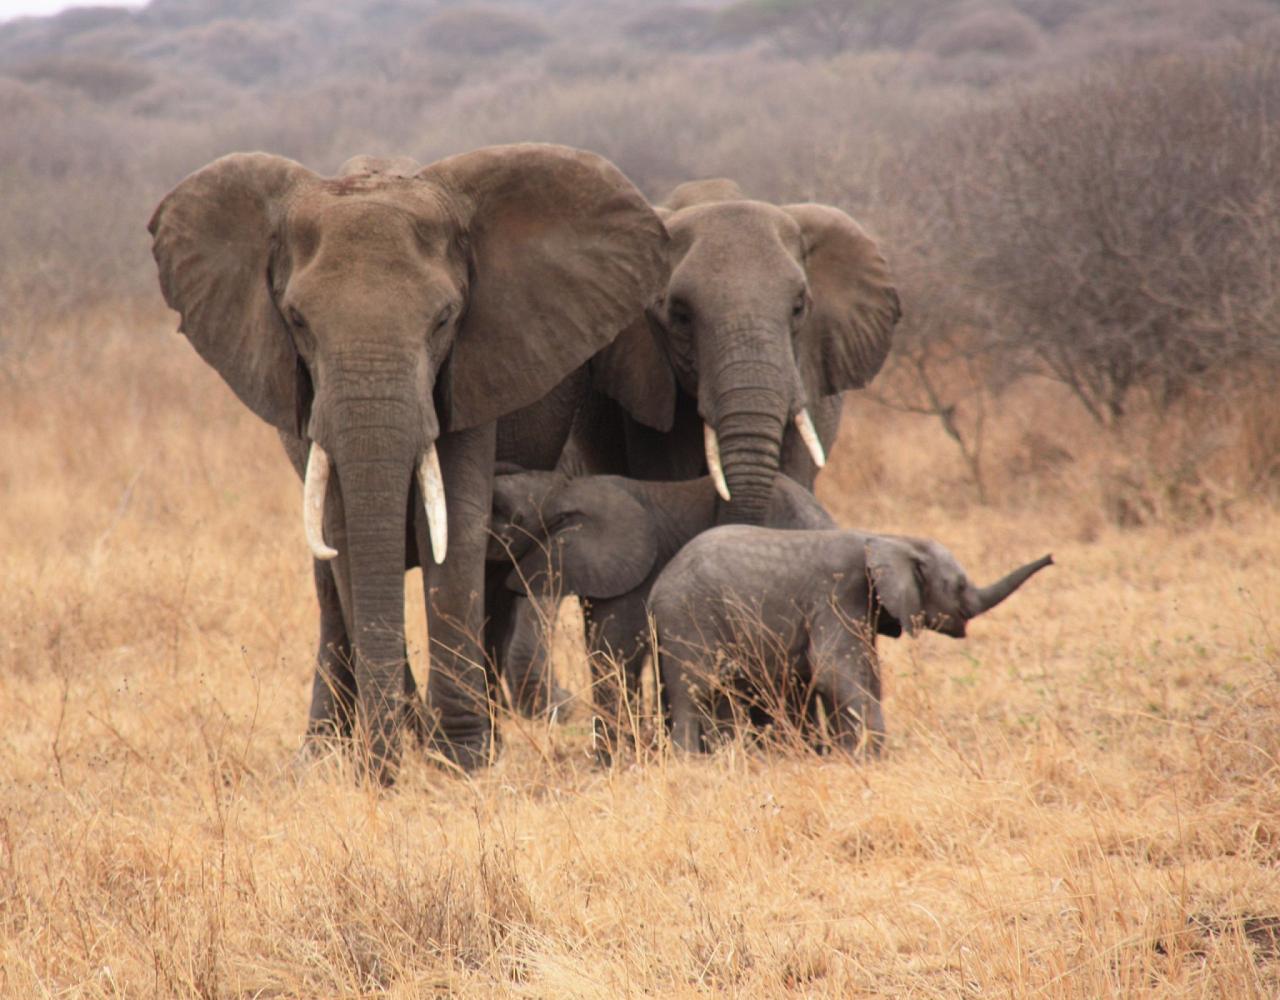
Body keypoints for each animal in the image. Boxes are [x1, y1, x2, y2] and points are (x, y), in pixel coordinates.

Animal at [147, 142, 670, 778]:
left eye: (444, 318)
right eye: (297, 321)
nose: (387, 765)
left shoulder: (473, 365)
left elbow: (457, 529)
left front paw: (461, 760)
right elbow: (345, 536)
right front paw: (402, 753)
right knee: (327, 586)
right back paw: (320, 755)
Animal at [650, 527, 1049, 752]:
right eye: (961, 585)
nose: (1051, 557)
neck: (891, 538)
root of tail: (655, 590)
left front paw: (848, 754)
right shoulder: (839, 595)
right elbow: (833, 672)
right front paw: (872, 756)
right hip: (687, 617)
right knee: (696, 690)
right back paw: (693, 763)